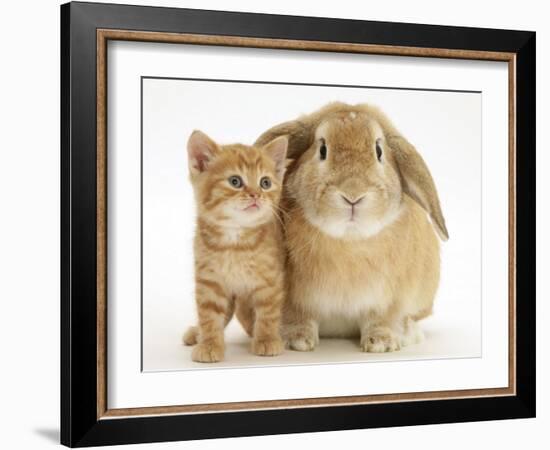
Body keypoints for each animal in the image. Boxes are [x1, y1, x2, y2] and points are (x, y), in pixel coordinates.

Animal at [184, 130, 292, 362]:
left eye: (265, 183)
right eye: (235, 181)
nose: (256, 195)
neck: (236, 241)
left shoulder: (271, 279)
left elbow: (268, 312)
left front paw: (266, 340)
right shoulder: (209, 279)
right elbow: (209, 314)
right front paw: (209, 343)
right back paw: (197, 333)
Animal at [256, 102, 450, 352]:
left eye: (378, 151)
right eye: (322, 149)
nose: (353, 195)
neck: (349, 240)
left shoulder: (389, 299)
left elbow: (381, 319)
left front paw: (381, 344)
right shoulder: (293, 300)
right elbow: (298, 316)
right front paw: (297, 341)